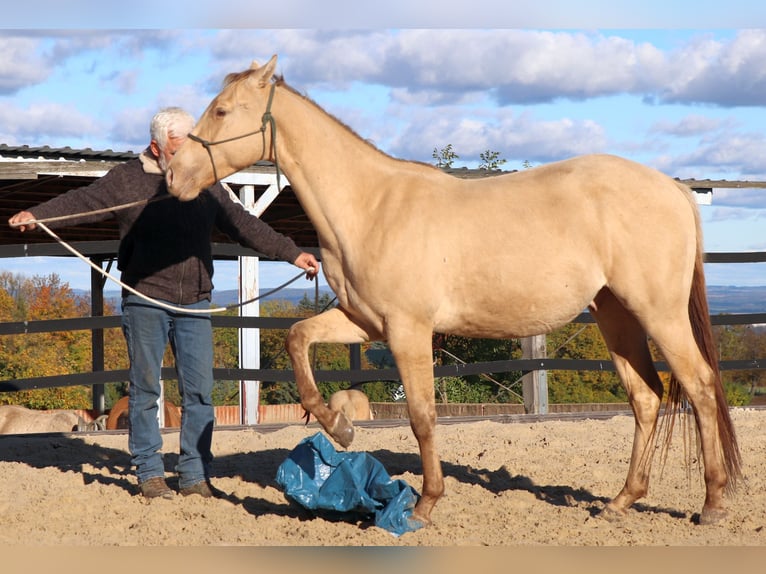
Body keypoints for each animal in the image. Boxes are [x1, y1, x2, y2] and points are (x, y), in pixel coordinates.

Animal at [166, 55, 741, 527]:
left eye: (221, 110)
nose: (173, 175)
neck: (372, 206)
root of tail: (672, 188)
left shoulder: (408, 330)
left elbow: (423, 416)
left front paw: (425, 504)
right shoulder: (364, 323)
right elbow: (297, 341)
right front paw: (340, 428)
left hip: (659, 313)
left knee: (700, 386)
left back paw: (712, 503)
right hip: (615, 315)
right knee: (646, 397)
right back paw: (621, 501)